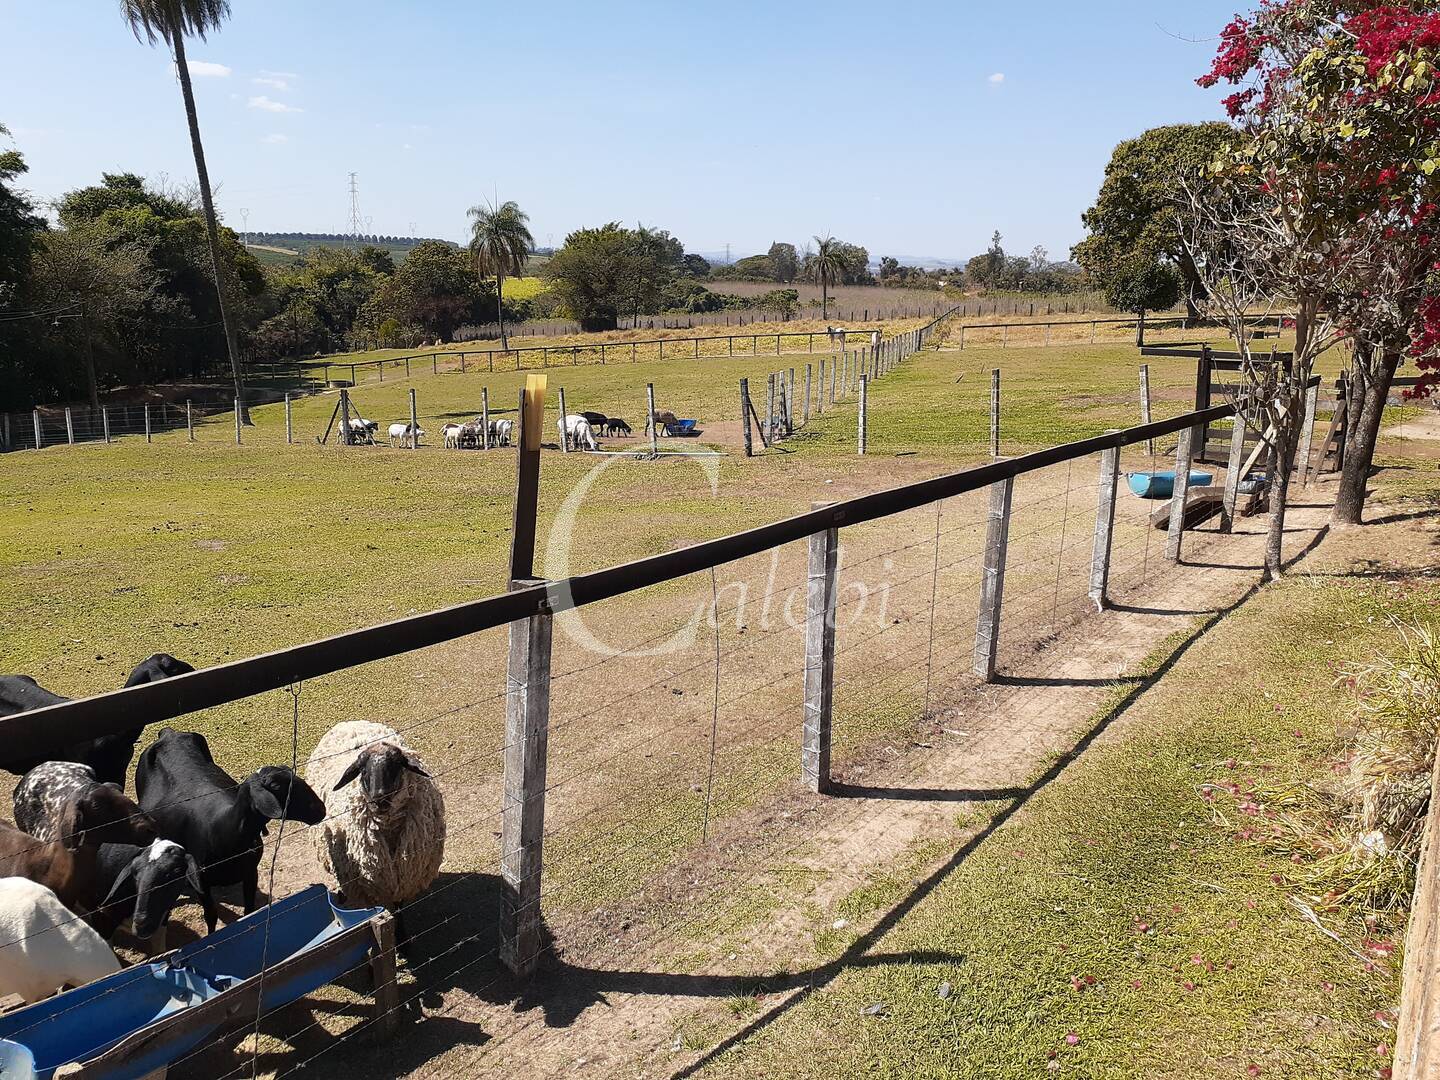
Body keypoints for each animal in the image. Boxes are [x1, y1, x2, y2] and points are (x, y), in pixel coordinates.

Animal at [133, 731, 325, 933]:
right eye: (276, 786)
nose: (321, 809)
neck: (223, 830)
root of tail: (168, 733)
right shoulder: (201, 881)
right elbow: (211, 916)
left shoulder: (250, 871)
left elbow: (250, 911)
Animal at [311, 722, 446, 944]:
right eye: (363, 771)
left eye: (396, 765)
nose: (379, 799)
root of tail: (349, 722)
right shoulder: (372, 883)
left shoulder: (401, 876)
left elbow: (397, 908)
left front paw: (402, 938)